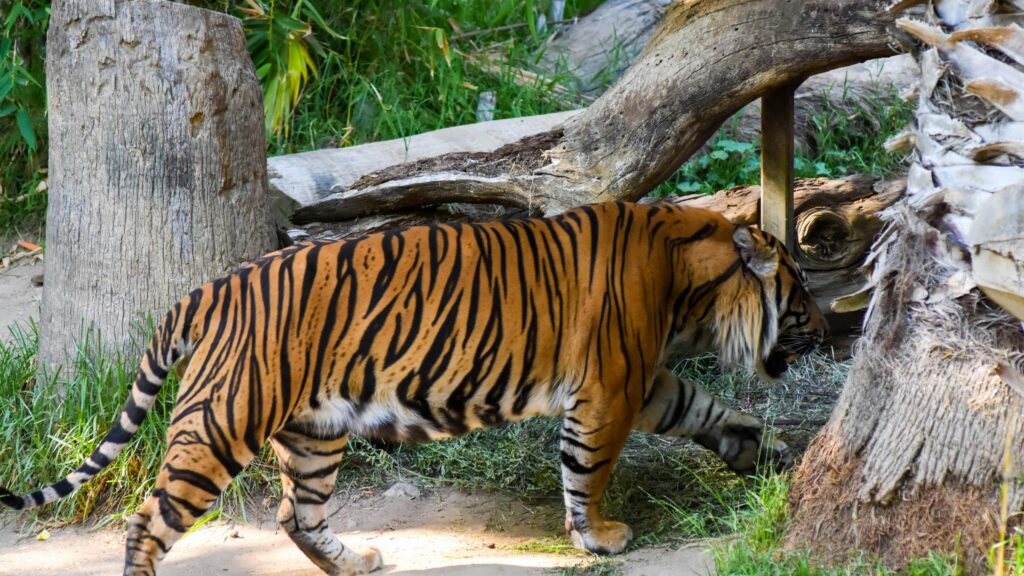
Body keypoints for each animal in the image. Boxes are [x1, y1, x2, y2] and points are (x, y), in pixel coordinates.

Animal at [1, 201, 827, 576]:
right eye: (802, 294)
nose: (829, 328)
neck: (692, 284)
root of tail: (206, 289)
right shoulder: (611, 389)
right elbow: (587, 470)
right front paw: (599, 538)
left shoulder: (642, 381)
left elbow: (703, 407)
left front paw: (759, 448)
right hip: (222, 424)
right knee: (150, 520)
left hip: (314, 432)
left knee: (295, 515)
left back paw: (356, 562)